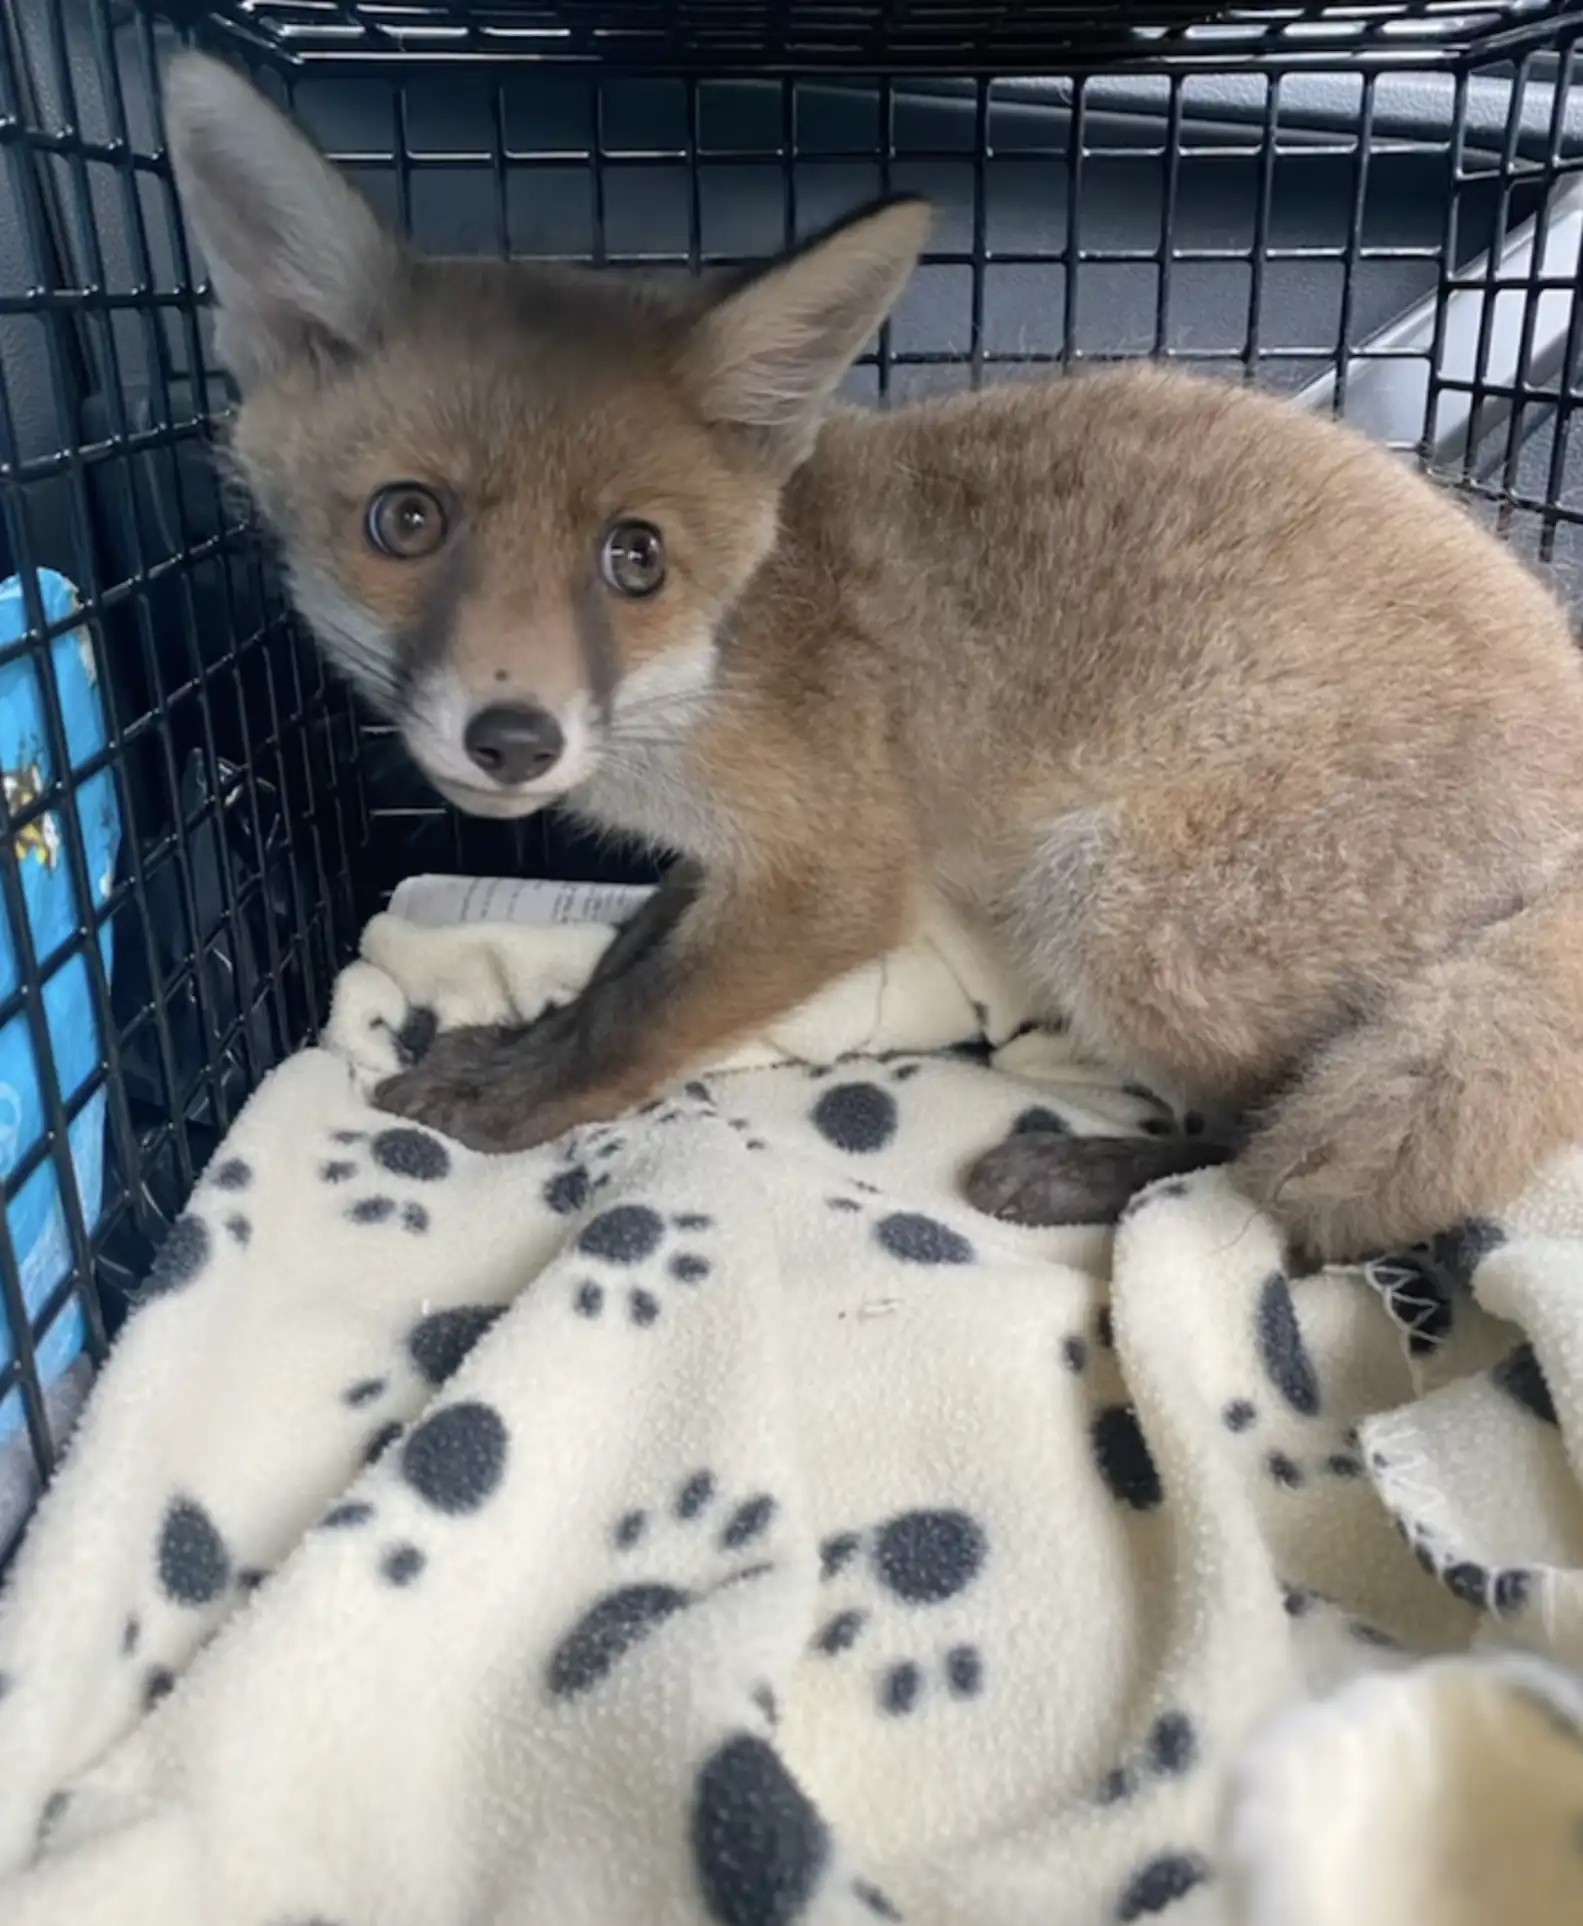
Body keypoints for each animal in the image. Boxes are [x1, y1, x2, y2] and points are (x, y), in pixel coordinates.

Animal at [164, 48, 1583, 1263]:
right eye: (405, 521)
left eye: (635, 558)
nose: (514, 739)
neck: (717, 656)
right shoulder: (722, 860)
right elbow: (621, 965)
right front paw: (521, 1041)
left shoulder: (835, 873)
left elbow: (644, 1018)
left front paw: (527, 1106)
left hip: (1117, 910)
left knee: (1261, 1136)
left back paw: (1093, 1177)